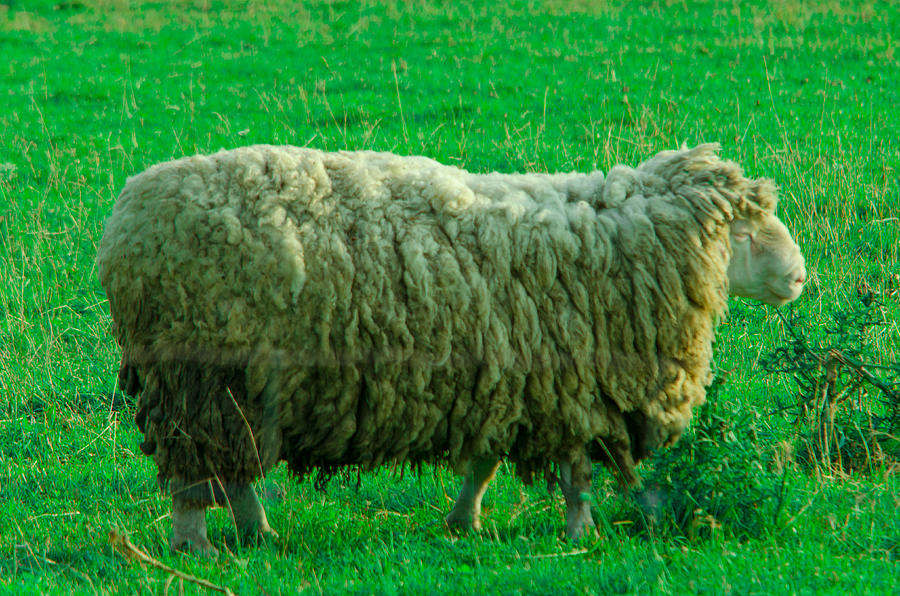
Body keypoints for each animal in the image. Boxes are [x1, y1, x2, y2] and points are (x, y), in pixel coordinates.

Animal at [98, 143, 808, 556]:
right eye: (743, 228)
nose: (801, 276)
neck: (616, 247)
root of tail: (125, 224)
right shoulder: (573, 387)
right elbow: (577, 473)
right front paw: (582, 532)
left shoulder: (514, 380)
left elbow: (486, 462)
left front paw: (464, 522)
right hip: (202, 376)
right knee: (196, 471)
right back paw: (196, 545)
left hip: (240, 387)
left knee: (237, 466)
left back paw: (258, 533)